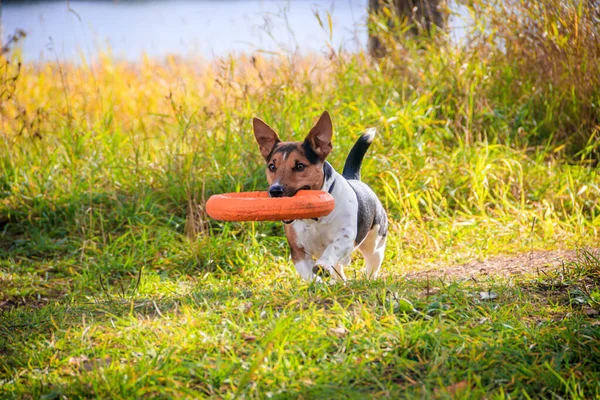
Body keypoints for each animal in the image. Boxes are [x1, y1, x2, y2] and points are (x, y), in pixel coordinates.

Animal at [250, 111, 386, 282]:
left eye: (300, 166)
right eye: (272, 166)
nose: (275, 191)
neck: (313, 218)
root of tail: (353, 178)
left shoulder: (345, 236)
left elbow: (331, 249)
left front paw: (322, 265)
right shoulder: (298, 251)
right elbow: (309, 274)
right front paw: (318, 283)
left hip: (375, 244)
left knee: (372, 264)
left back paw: (368, 280)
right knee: (339, 268)